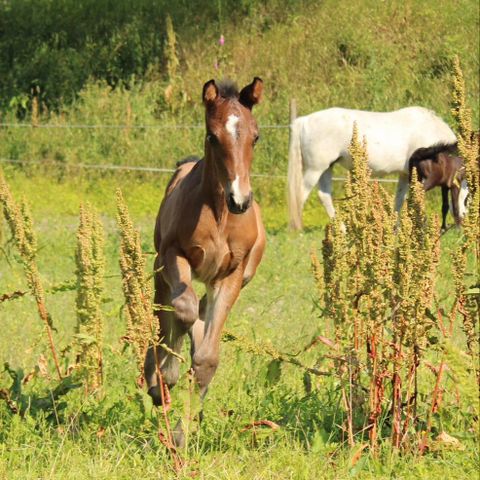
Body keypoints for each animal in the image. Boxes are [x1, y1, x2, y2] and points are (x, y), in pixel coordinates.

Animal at [145, 77, 266, 444]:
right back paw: (154, 374)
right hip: (159, 267)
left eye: (256, 136)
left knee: (197, 315)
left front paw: (181, 434)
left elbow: (207, 358)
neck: (220, 214)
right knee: (165, 311)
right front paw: (165, 377)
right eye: (212, 136)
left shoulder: (231, 274)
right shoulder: (175, 254)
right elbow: (181, 310)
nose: (240, 199)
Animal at [288, 106, 458, 229]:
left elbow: (399, 200)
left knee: (324, 195)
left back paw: (341, 229)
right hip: (315, 169)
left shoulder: (405, 175)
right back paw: (297, 229)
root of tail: (304, 121)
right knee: (300, 195)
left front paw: (394, 227)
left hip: (326, 168)